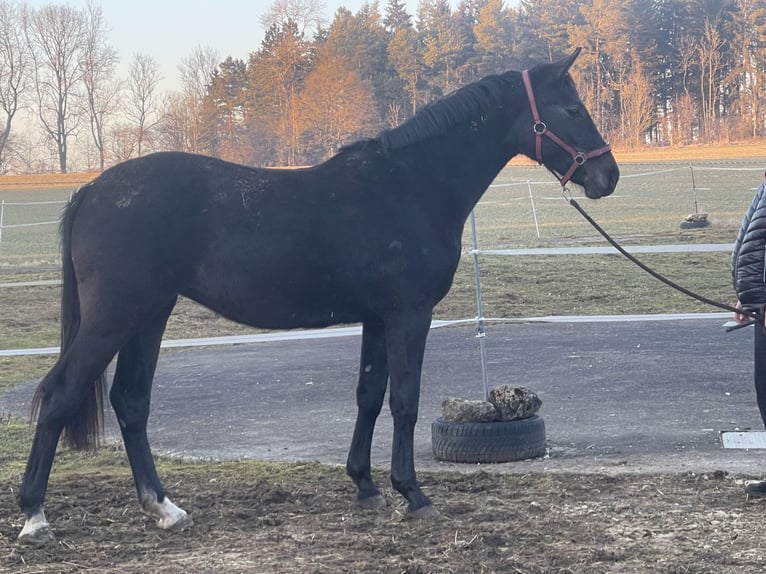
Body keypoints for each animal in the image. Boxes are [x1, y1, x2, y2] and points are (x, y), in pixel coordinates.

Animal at [16, 48, 616, 544]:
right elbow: (405, 399)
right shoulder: (409, 315)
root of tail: (92, 190)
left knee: (131, 402)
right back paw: (35, 518)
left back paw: (164, 509)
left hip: (148, 315)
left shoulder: (376, 318)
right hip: (115, 317)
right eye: (571, 109)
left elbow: (369, 395)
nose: (607, 176)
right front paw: (413, 494)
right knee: (61, 393)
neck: (412, 184)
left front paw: (367, 487)